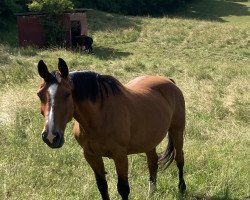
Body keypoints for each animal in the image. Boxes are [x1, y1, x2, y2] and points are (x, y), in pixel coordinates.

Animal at [36, 58, 186, 200]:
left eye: (67, 94)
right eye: (39, 94)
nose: (51, 136)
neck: (100, 117)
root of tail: (169, 81)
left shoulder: (120, 156)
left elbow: (123, 188)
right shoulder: (91, 155)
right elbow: (102, 186)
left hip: (177, 131)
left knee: (179, 158)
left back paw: (182, 188)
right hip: (149, 140)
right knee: (152, 162)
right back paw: (151, 193)